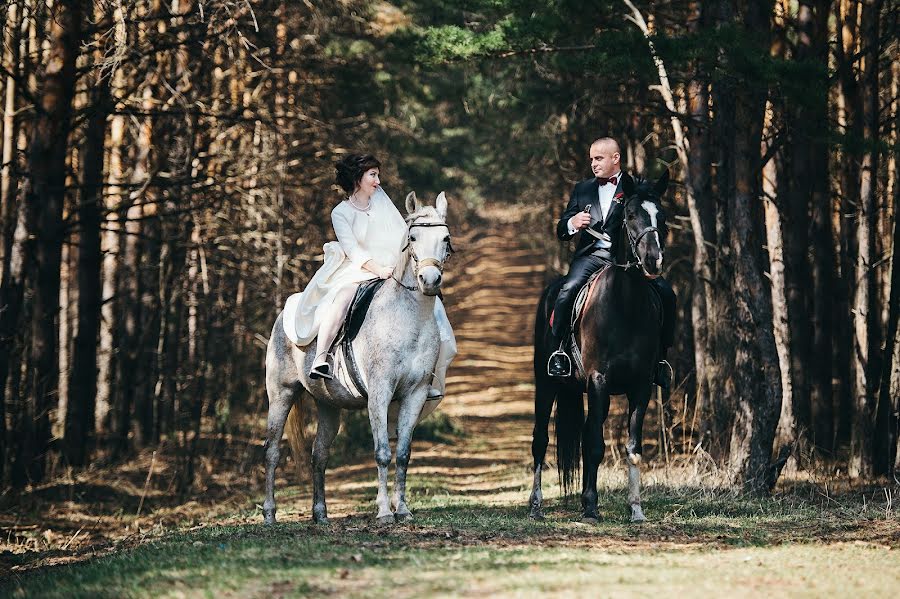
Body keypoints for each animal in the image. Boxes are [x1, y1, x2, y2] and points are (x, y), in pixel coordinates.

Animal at [264, 190, 454, 524]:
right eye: (412, 237)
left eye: (445, 238)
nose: (430, 280)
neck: (409, 319)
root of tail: (283, 315)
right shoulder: (379, 394)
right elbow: (382, 452)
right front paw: (384, 512)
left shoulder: (415, 395)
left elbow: (403, 454)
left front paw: (403, 510)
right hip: (281, 395)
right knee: (272, 451)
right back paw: (270, 515)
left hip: (328, 405)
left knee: (319, 454)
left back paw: (321, 514)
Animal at [528, 171, 668, 524]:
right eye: (630, 215)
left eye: (662, 215)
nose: (653, 261)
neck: (626, 304)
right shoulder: (599, 380)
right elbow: (594, 443)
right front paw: (590, 507)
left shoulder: (641, 386)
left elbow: (632, 447)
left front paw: (635, 509)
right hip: (546, 383)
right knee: (540, 440)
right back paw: (535, 506)